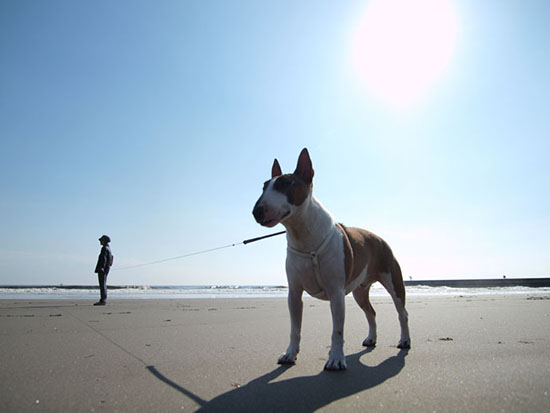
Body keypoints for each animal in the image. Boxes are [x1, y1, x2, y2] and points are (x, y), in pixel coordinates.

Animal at [253, 148, 410, 370]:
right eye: (264, 186)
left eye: (284, 184)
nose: (256, 211)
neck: (304, 237)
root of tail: (379, 238)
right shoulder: (294, 293)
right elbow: (294, 329)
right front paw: (290, 354)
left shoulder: (336, 293)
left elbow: (337, 331)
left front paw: (335, 358)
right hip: (360, 291)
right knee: (371, 312)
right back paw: (371, 338)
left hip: (393, 281)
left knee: (401, 312)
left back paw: (405, 340)